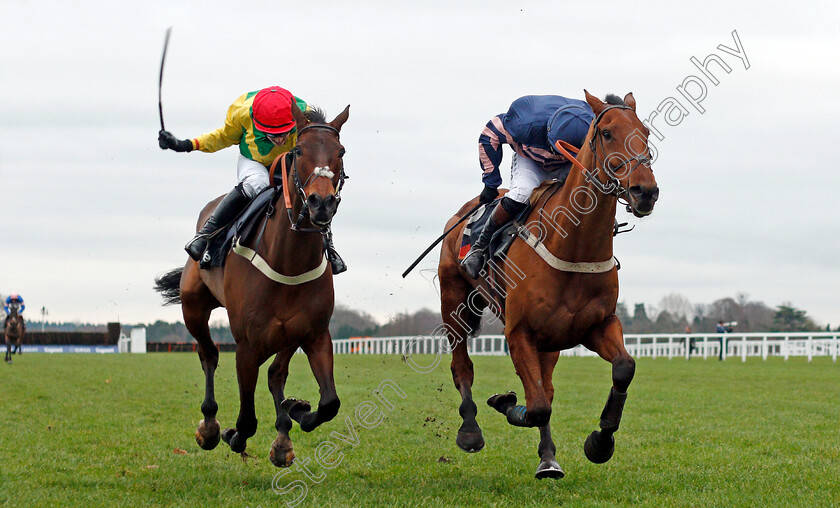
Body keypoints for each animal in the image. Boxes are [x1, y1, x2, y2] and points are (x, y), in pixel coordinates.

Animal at [153, 104, 348, 468]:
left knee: (275, 373)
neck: (288, 260)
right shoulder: (246, 345)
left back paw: (284, 434)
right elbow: (246, 420)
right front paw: (230, 433)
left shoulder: (314, 333)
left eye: (340, 151)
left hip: (287, 334)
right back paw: (210, 425)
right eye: (299, 151)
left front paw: (296, 411)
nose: (322, 203)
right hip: (194, 308)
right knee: (209, 354)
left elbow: (329, 403)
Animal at [436, 92, 660, 480]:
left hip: (550, 340)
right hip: (453, 304)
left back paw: (548, 458)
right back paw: (470, 431)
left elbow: (623, 368)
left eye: (644, 133)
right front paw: (505, 402)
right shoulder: (518, 332)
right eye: (606, 133)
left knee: (547, 386)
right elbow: (537, 405)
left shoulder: (596, 325)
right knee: (462, 367)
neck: (572, 246)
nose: (644, 191)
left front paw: (600, 441)